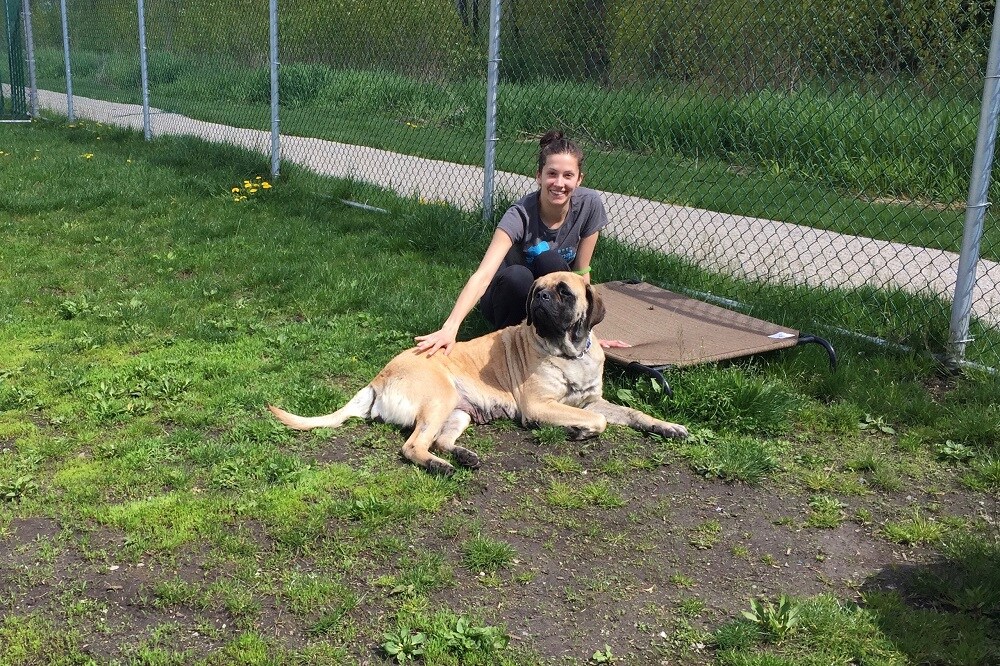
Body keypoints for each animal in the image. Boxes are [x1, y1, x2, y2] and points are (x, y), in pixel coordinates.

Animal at [268, 270, 688, 472]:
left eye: (564, 292)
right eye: (538, 289)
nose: (539, 296)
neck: (568, 353)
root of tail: (379, 377)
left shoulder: (593, 401)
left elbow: (632, 412)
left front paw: (667, 426)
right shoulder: (540, 406)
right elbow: (595, 423)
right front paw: (578, 431)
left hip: (457, 413)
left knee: (437, 441)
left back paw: (463, 456)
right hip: (440, 398)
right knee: (412, 446)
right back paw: (442, 467)